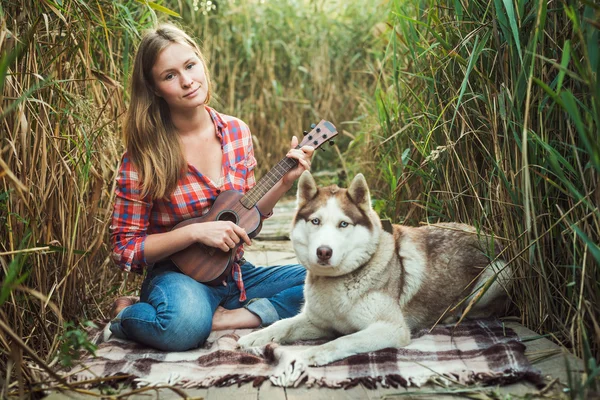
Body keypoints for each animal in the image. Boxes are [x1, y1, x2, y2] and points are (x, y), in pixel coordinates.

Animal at [239, 172, 510, 368]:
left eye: (343, 224)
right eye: (316, 221)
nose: (324, 252)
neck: (339, 281)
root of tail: (488, 234)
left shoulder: (391, 328)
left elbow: (345, 339)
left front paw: (315, 353)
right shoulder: (317, 321)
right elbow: (283, 324)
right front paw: (257, 336)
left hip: (500, 273)